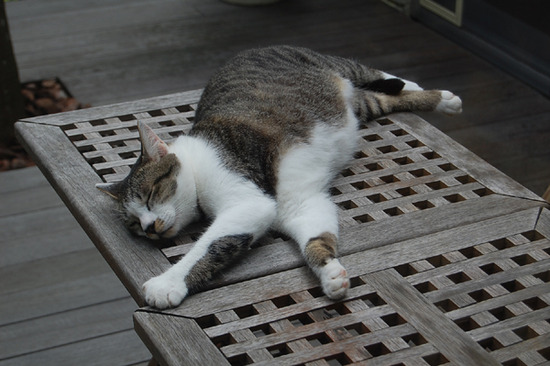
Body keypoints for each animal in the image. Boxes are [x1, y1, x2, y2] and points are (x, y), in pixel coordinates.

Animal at [97, 45, 464, 308]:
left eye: (150, 194)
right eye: (133, 223)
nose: (148, 227)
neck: (198, 165)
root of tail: (252, 48)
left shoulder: (248, 201)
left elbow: (207, 247)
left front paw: (167, 283)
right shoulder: (295, 203)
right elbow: (315, 235)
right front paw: (330, 273)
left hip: (334, 66)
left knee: (373, 72)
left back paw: (440, 95)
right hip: (360, 108)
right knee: (382, 98)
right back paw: (437, 98)